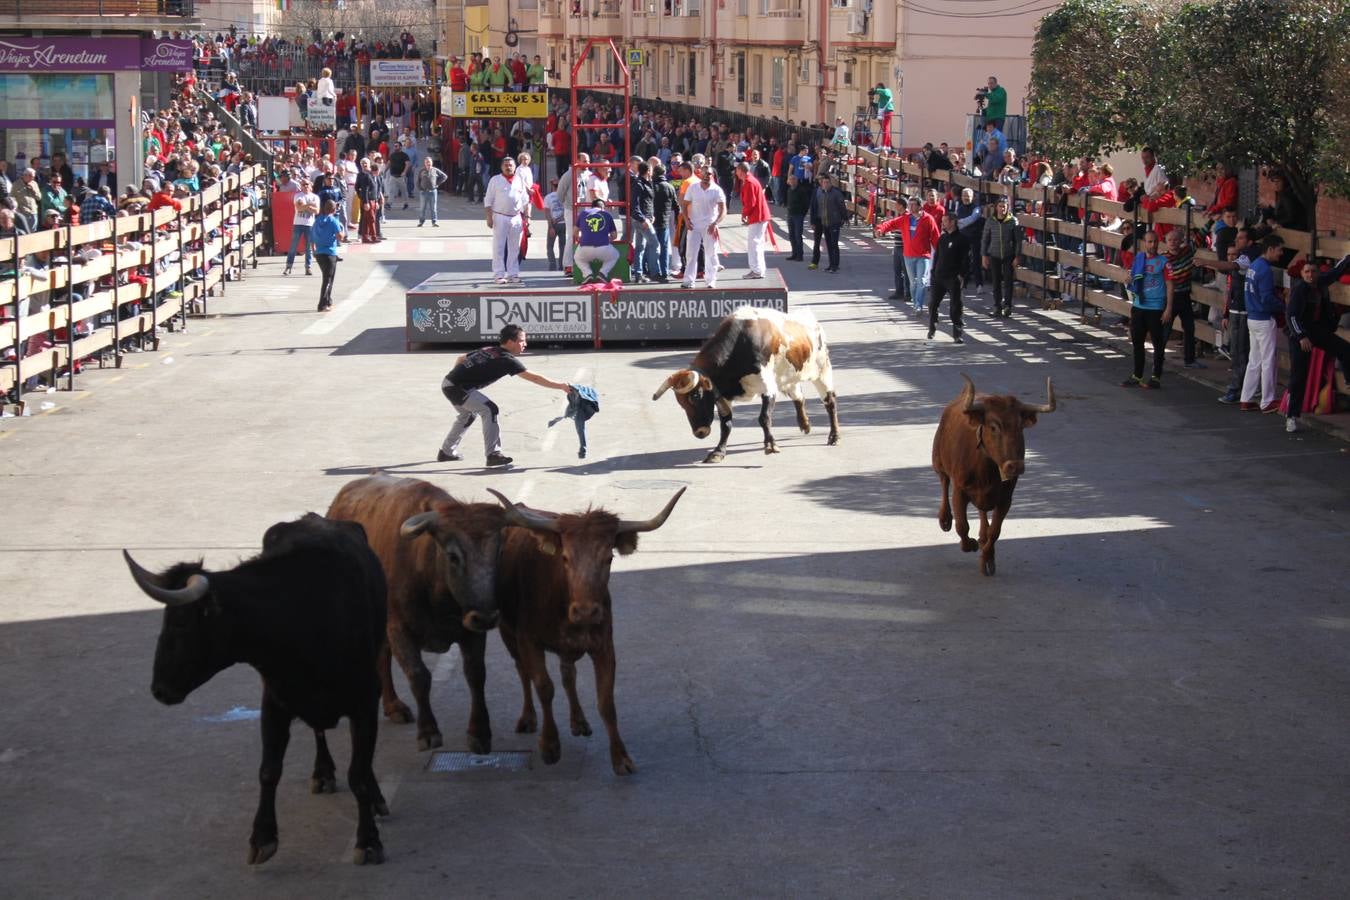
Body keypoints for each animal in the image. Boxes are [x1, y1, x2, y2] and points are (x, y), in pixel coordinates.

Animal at [325, 474, 537, 755]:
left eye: (499, 552)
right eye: (453, 555)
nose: (487, 618)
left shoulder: (471, 631)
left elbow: (475, 674)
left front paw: (479, 733)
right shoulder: (398, 628)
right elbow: (419, 676)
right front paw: (428, 732)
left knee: (383, 655)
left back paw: (393, 706)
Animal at [486, 485, 685, 777]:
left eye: (609, 558)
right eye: (565, 557)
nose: (586, 612)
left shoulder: (604, 646)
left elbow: (606, 701)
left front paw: (620, 757)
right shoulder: (528, 641)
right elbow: (544, 687)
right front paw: (550, 746)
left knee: (568, 674)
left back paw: (578, 721)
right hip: (507, 631)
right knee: (523, 672)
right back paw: (528, 718)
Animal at [653, 307, 842, 464]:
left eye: (695, 395)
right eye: (681, 403)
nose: (700, 432)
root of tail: (811, 320)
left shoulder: (768, 388)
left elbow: (764, 418)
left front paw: (770, 445)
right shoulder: (724, 397)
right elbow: (726, 424)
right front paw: (718, 452)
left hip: (822, 371)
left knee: (830, 402)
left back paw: (834, 436)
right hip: (788, 378)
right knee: (799, 397)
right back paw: (805, 424)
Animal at [928, 372, 1053, 577]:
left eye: (1020, 427)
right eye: (994, 427)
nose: (1015, 466)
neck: (986, 470)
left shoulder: (1006, 498)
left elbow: (995, 531)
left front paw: (987, 558)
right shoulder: (959, 492)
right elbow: (962, 526)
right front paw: (969, 544)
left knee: (982, 511)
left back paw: (981, 535)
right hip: (938, 460)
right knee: (944, 482)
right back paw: (945, 518)